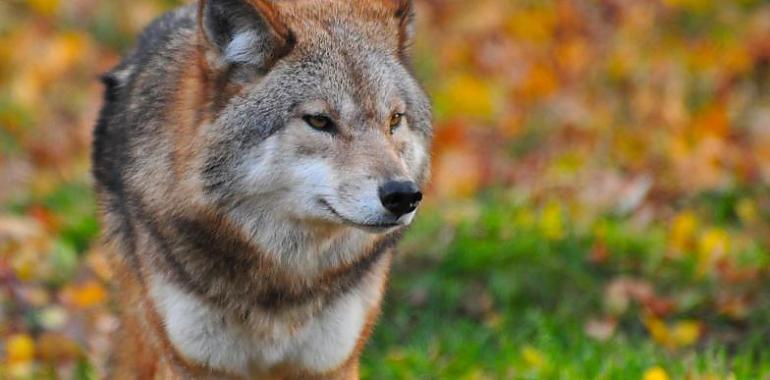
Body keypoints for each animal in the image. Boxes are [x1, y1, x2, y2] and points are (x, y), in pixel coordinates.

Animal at [90, 0, 432, 378]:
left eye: (394, 120)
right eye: (319, 121)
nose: (403, 195)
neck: (282, 280)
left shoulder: (332, 363)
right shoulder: (191, 363)